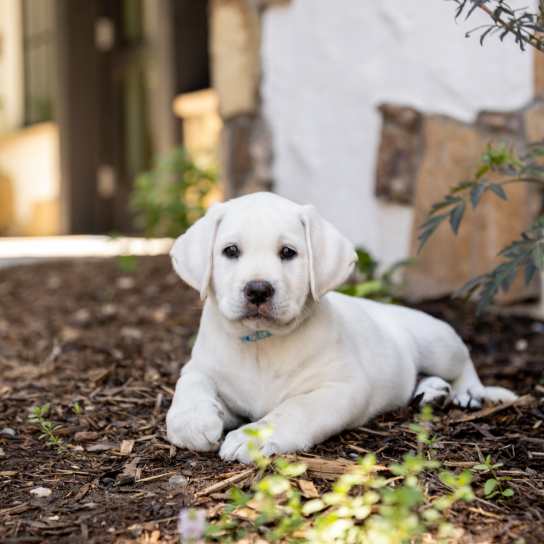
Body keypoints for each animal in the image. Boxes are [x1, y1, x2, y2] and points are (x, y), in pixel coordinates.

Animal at [168, 193, 516, 462]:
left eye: (287, 252)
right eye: (230, 251)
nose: (257, 290)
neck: (262, 344)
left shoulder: (346, 388)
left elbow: (295, 407)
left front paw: (253, 437)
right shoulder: (207, 369)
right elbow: (190, 379)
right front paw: (192, 420)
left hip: (438, 344)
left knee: (464, 359)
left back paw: (467, 392)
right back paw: (432, 392)